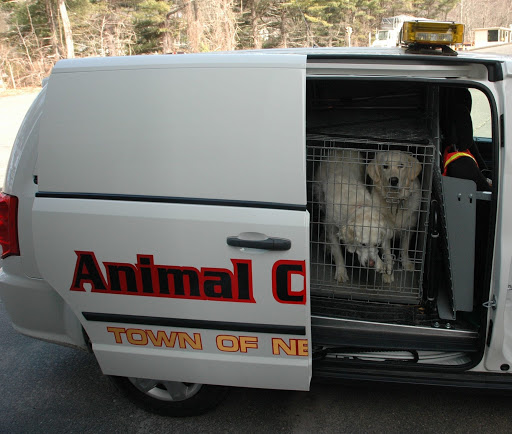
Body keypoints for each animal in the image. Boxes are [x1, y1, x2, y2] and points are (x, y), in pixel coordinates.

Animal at [314, 149, 394, 284]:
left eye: (376, 244)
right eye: (362, 244)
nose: (371, 263)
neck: (357, 205)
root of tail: (342, 149)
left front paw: (381, 263)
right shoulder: (331, 227)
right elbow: (337, 251)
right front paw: (341, 272)